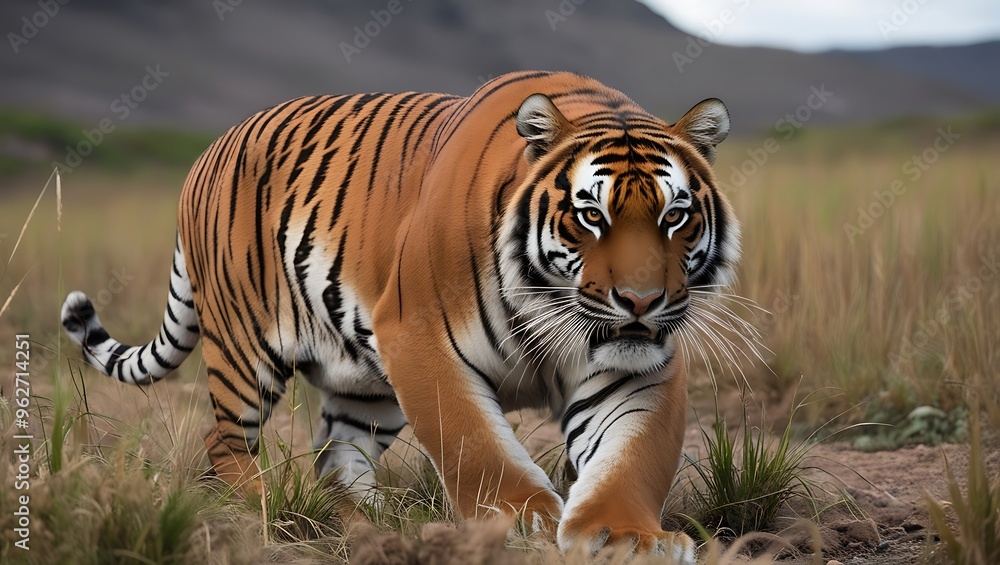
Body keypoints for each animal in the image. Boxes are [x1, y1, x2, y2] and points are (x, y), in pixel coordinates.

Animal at [61, 70, 739, 560]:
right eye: (591, 215)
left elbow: (632, 456)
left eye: (675, 215)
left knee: (334, 456)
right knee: (224, 441)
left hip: (364, 383)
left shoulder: (635, 368)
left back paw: (372, 522)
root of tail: (207, 153)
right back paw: (265, 506)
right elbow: (474, 445)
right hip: (244, 349)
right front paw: (521, 521)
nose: (642, 301)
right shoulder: (420, 338)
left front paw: (626, 538)